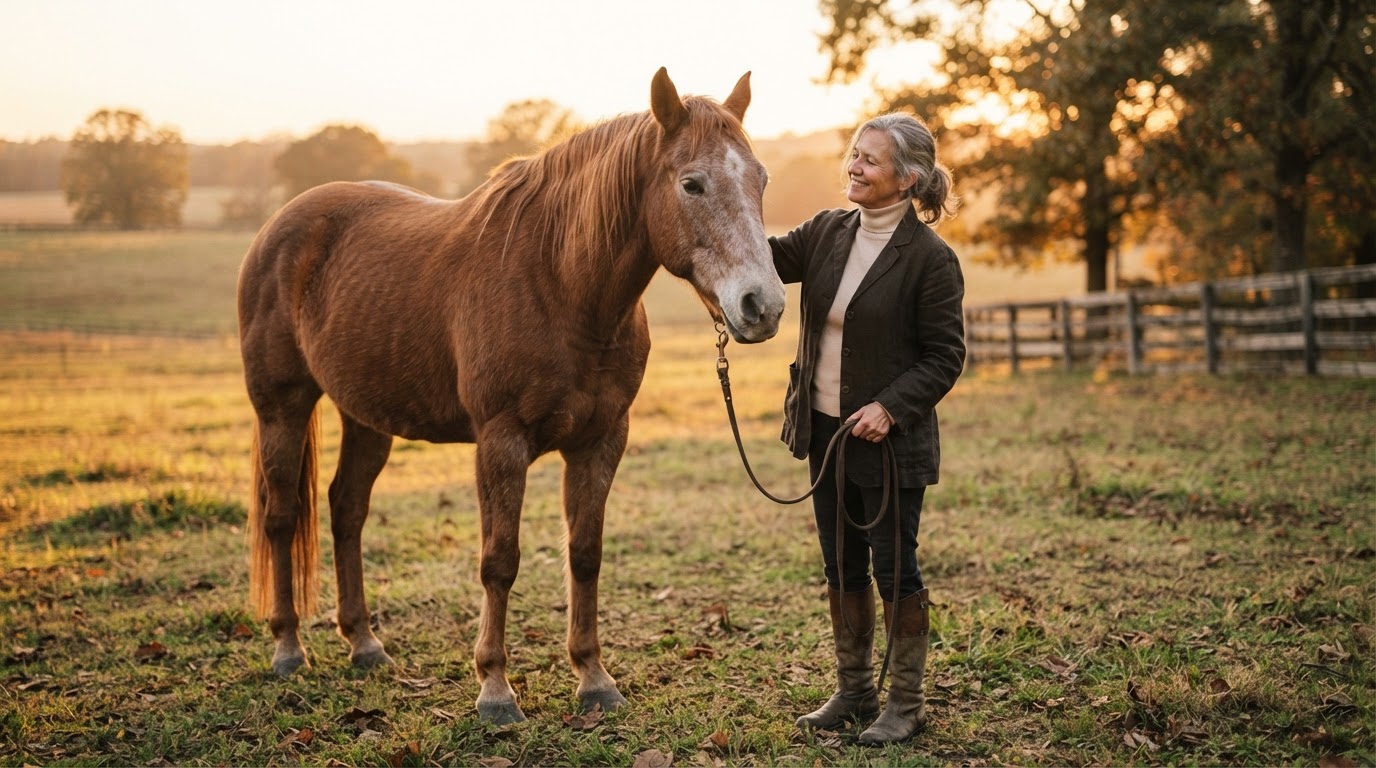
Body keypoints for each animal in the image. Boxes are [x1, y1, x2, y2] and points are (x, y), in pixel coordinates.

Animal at [236, 68, 785, 724]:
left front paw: (593, 678)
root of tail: (277, 227)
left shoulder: (602, 440)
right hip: (282, 408)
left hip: (366, 416)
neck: (560, 285)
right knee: (281, 516)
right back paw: (288, 648)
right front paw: (495, 689)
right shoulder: (501, 443)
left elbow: (585, 553)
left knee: (347, 510)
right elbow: (500, 561)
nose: (763, 305)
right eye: (692, 183)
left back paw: (364, 643)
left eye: (760, 179)